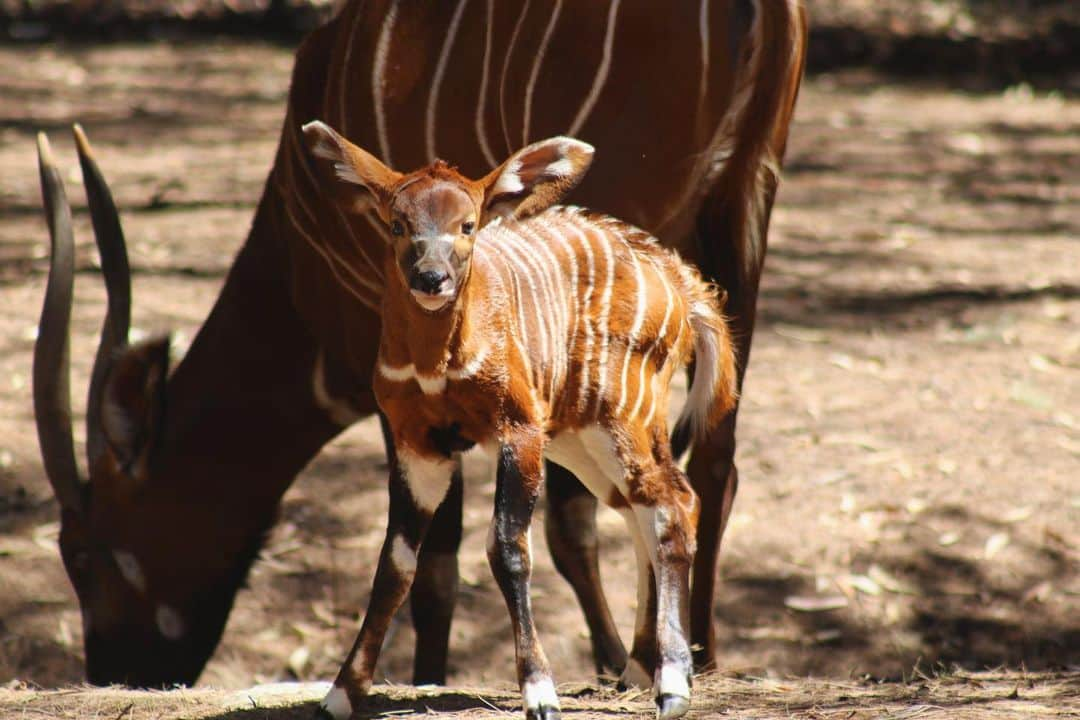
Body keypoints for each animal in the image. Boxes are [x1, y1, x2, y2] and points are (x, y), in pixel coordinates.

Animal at [304, 122, 743, 720]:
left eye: (467, 224)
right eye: (397, 223)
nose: (431, 278)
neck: (436, 362)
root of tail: (684, 284)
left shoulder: (518, 431)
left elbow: (508, 548)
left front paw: (539, 691)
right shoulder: (419, 445)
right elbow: (394, 563)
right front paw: (340, 694)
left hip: (627, 419)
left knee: (674, 504)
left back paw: (672, 683)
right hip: (583, 441)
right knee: (642, 511)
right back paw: (635, 669)